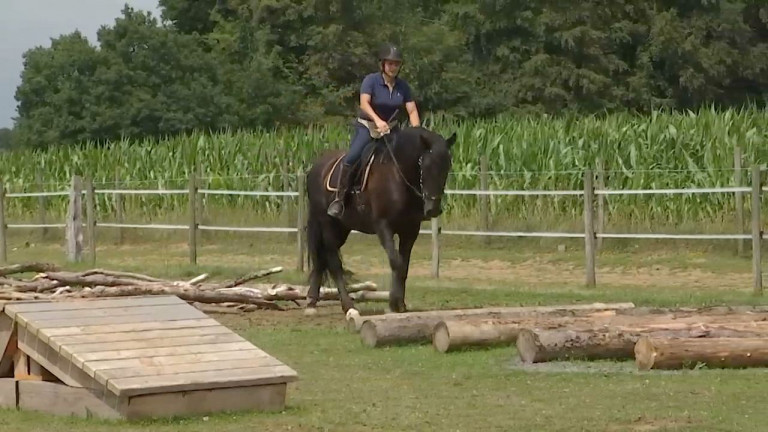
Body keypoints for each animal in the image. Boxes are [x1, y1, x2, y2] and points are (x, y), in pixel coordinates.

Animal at [302, 125, 456, 318]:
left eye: (447, 165)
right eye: (425, 165)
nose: (433, 209)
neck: (397, 176)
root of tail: (316, 167)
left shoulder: (410, 230)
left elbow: (404, 267)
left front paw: (400, 304)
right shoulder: (383, 226)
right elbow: (396, 262)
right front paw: (392, 303)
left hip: (342, 227)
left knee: (322, 259)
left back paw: (311, 302)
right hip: (326, 223)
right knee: (333, 261)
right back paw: (348, 306)